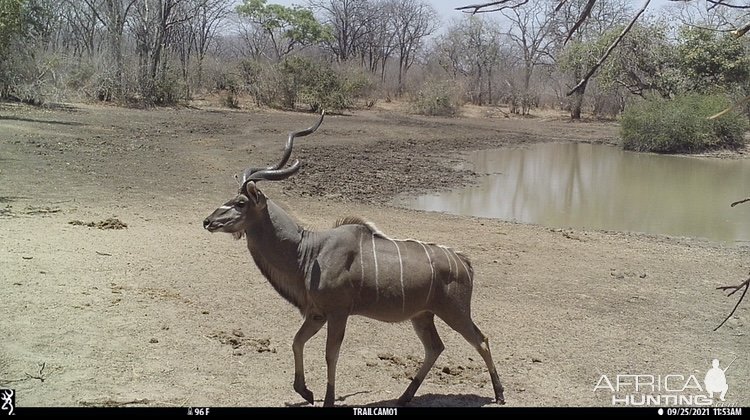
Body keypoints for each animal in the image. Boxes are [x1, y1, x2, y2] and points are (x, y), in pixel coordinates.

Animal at [204, 112, 506, 406]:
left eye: (241, 203)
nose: (208, 221)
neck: (307, 252)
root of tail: (464, 263)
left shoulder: (337, 313)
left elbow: (330, 355)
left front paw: (326, 399)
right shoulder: (316, 314)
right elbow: (296, 342)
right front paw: (305, 391)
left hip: (454, 311)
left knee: (481, 340)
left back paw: (499, 393)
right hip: (422, 315)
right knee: (435, 347)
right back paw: (404, 396)